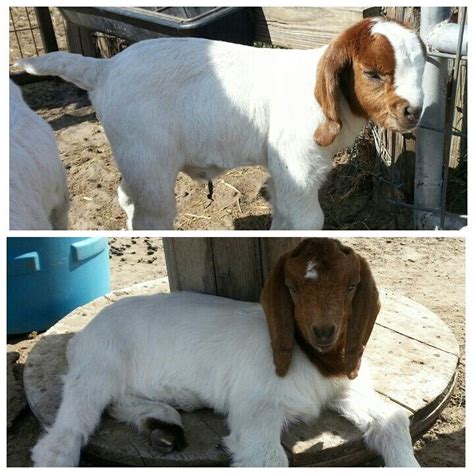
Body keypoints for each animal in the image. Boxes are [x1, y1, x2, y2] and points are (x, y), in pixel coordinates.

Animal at [17, 19, 426, 231]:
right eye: (372, 73)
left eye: (422, 67)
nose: (414, 112)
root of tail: (104, 69)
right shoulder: (298, 166)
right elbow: (307, 218)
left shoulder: (285, 172)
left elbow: (283, 214)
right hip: (147, 159)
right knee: (150, 211)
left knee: (126, 196)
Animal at [32, 239, 418, 468]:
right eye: (291, 288)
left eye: (352, 286)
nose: (324, 333)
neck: (313, 361)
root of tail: (80, 336)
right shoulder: (255, 409)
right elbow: (268, 456)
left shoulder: (345, 386)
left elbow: (393, 420)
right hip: (97, 368)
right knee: (65, 435)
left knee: (117, 402)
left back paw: (163, 423)